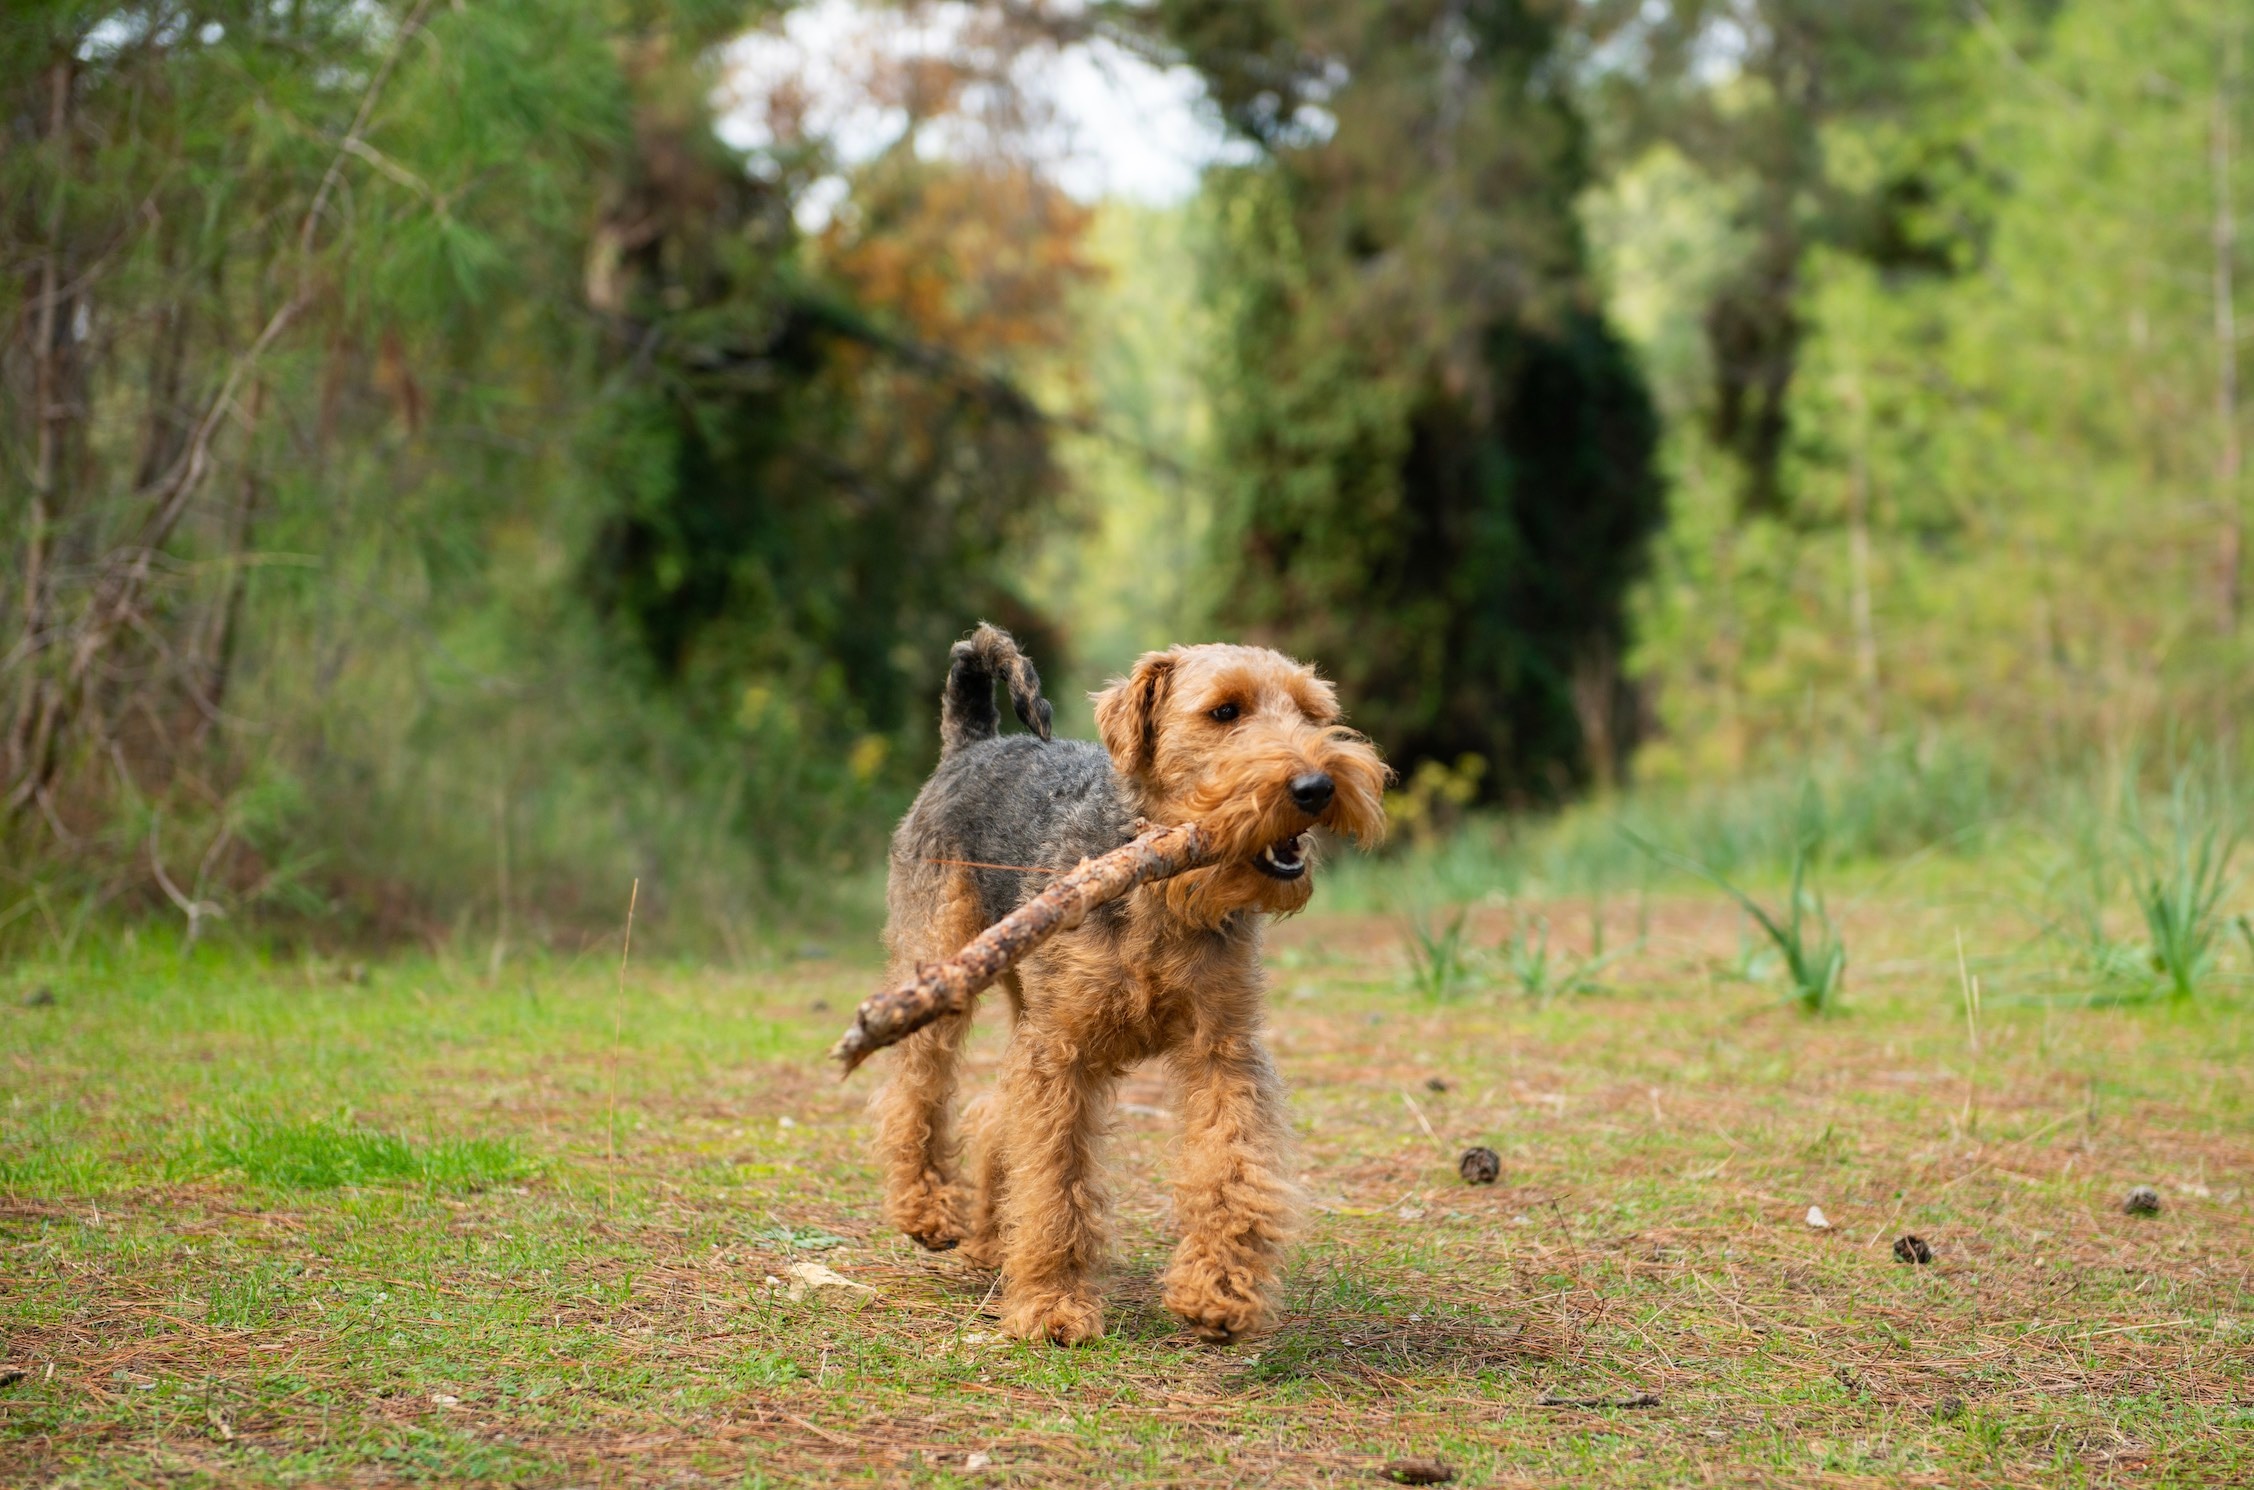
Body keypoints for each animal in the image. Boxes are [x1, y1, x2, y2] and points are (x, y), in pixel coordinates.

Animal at [865, 622, 1379, 1343]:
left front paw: (1218, 1291)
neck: (1163, 888)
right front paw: (1053, 1307)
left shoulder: (1221, 1047)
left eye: (1312, 713)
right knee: (917, 1089)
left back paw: (992, 1242)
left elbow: (1231, 1163)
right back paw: (929, 1211)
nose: (1315, 787)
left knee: (992, 1113)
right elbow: (1056, 1181)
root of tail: (974, 744)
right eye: (1225, 711)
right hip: (944, 971)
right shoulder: (1062, 1055)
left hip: (1024, 1005)